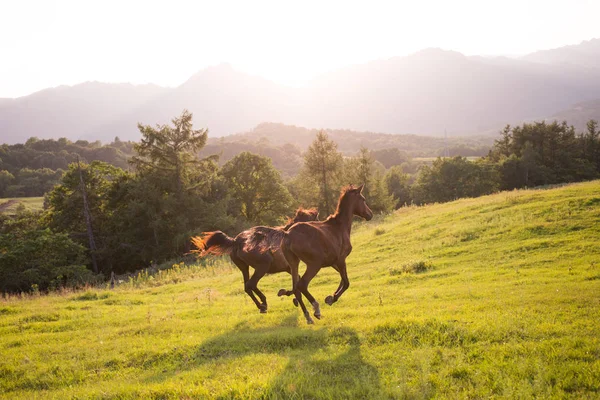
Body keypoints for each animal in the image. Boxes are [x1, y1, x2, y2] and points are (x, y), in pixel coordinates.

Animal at [253, 186, 376, 324]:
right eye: (363, 199)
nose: (370, 214)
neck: (339, 227)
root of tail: (288, 234)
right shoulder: (340, 260)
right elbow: (346, 282)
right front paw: (332, 299)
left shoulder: (333, 262)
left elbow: (343, 279)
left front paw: (330, 297)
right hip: (314, 264)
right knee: (302, 285)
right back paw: (316, 310)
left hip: (294, 263)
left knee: (296, 288)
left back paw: (307, 316)